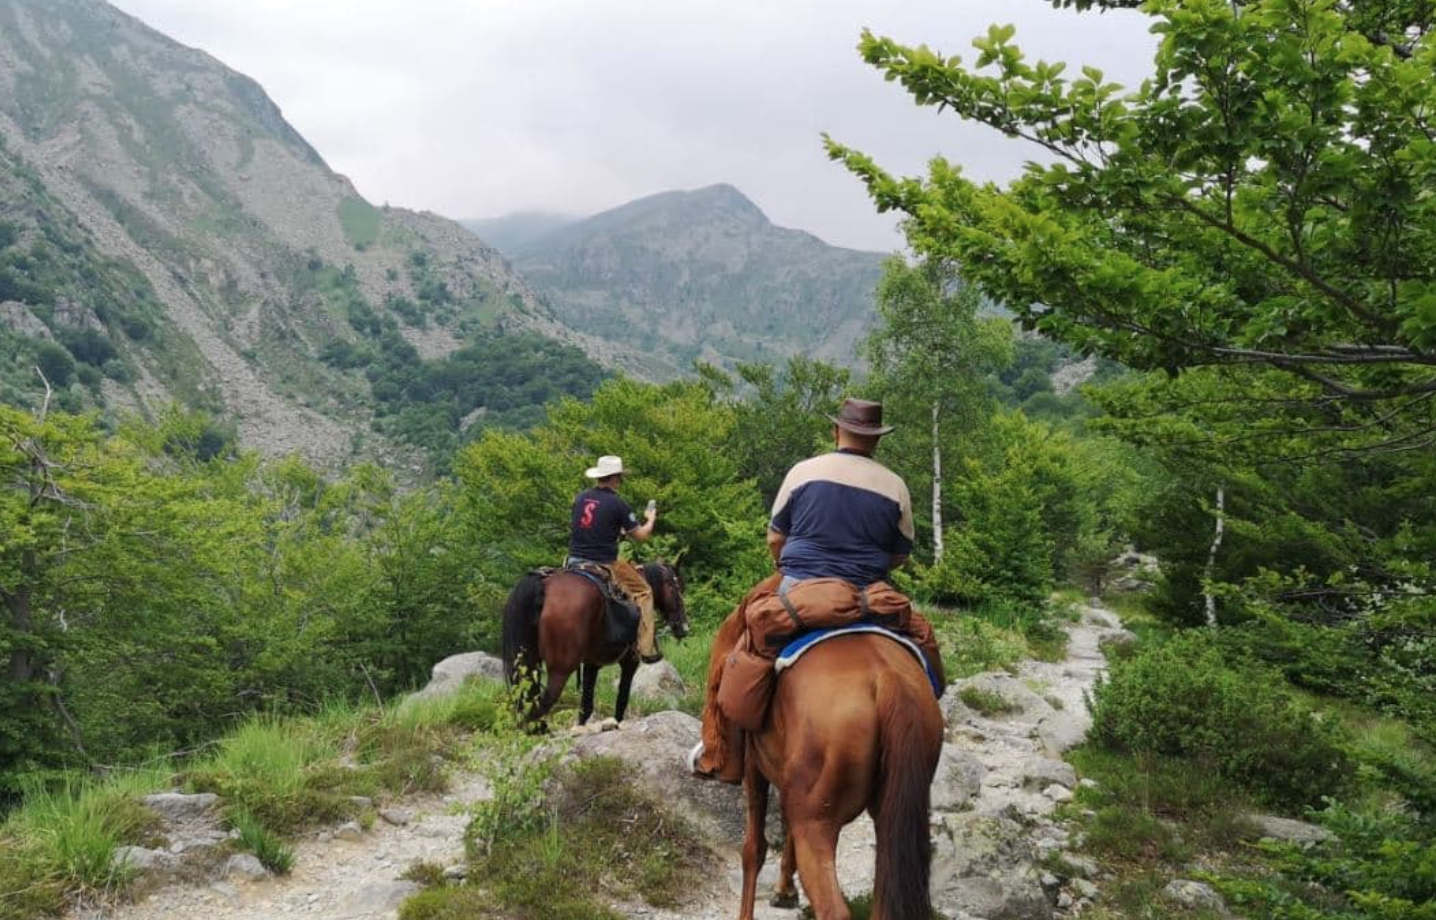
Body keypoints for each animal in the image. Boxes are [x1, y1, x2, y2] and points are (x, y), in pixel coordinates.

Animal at [501, 560, 689, 726]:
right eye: (676, 588)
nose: (684, 627)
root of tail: (545, 583)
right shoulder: (630, 662)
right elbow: (621, 700)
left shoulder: (591, 663)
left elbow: (586, 706)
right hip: (560, 670)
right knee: (539, 704)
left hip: (529, 664)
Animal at [738, 634, 944, 920]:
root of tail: (890, 680)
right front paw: (785, 891)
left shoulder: (754, 761)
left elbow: (753, 848)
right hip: (890, 819)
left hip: (816, 823)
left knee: (832, 909)